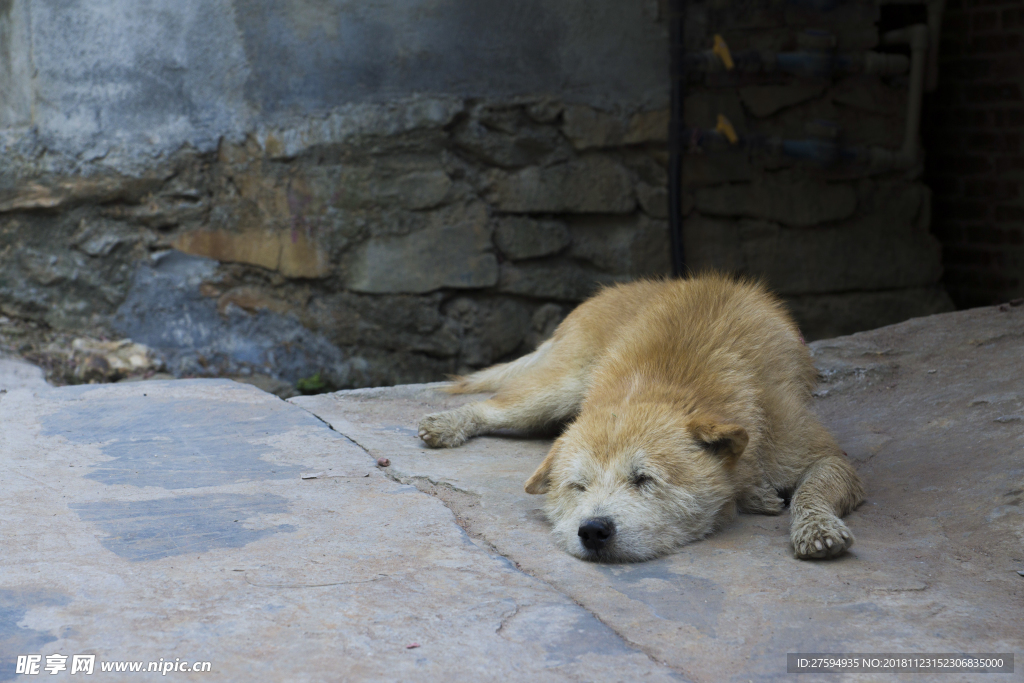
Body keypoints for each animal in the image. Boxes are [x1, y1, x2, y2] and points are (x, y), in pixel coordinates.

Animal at [415, 274, 864, 561]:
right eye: (578, 486)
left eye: (644, 479)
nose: (593, 530)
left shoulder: (823, 455)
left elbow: (812, 490)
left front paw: (816, 528)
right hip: (557, 389)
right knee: (492, 405)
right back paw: (447, 424)